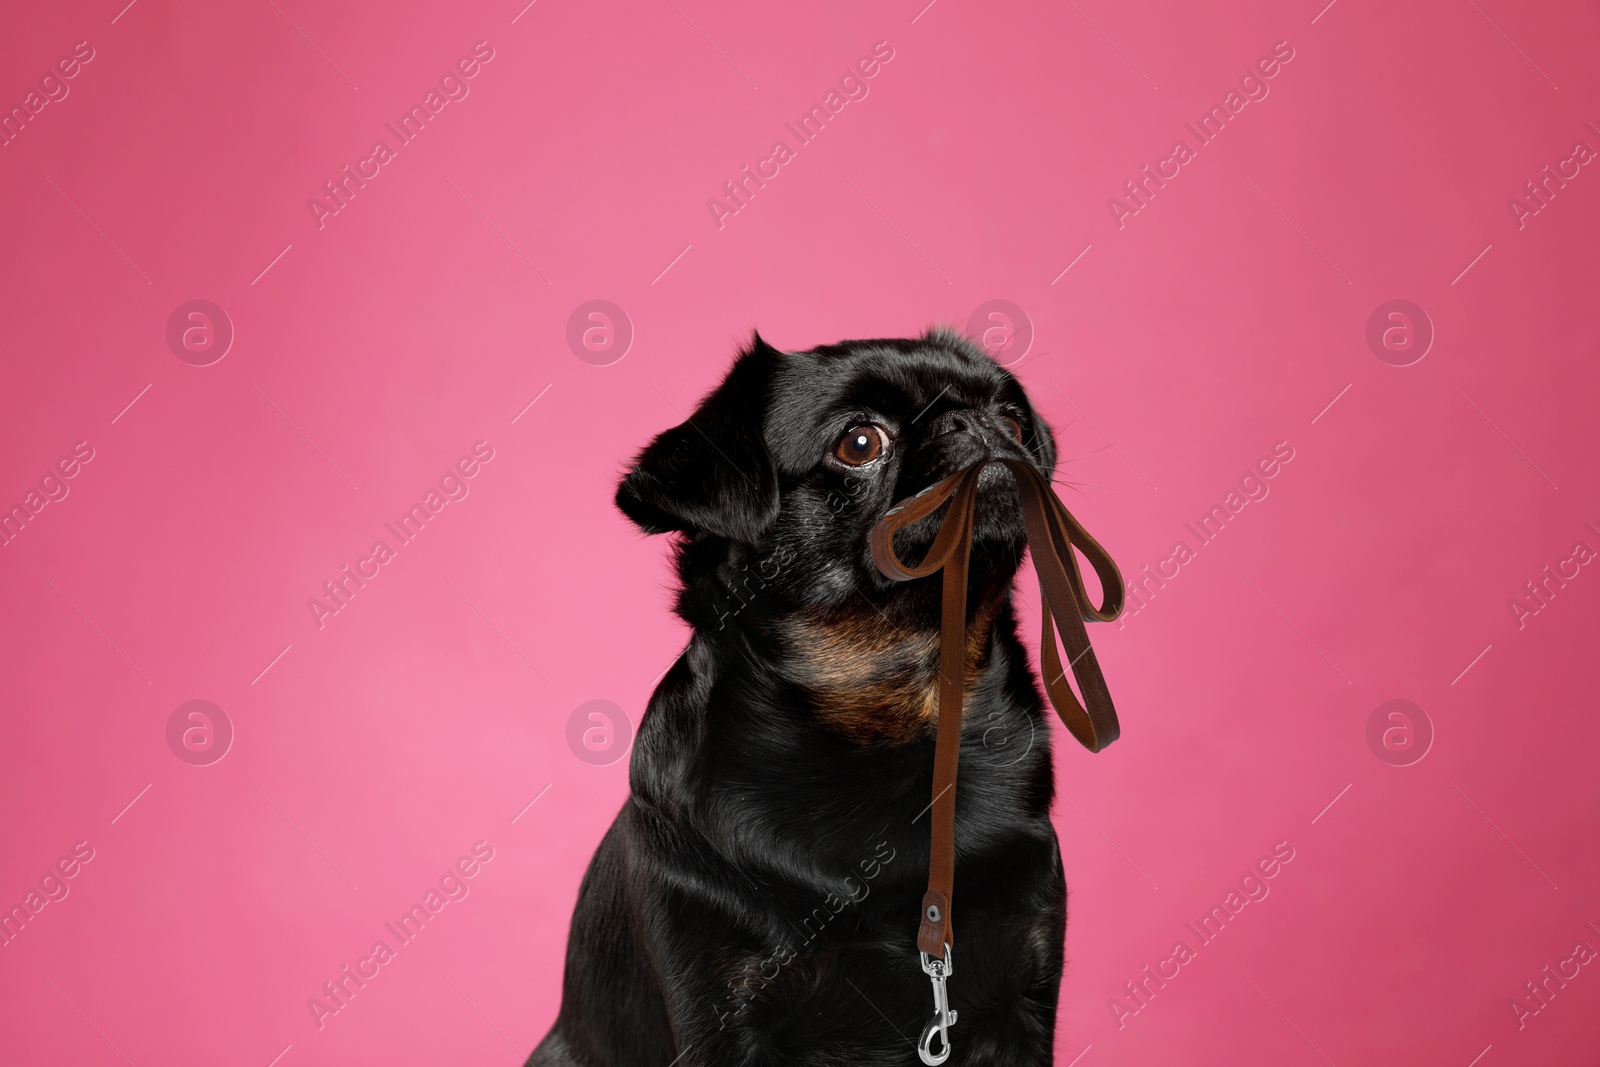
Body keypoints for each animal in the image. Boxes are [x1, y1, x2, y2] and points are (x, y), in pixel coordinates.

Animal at [534, 329, 1075, 1062]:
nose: (980, 426)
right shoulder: (722, 1021)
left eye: (1015, 421)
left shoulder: (1025, 997)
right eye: (860, 443)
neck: (891, 716)